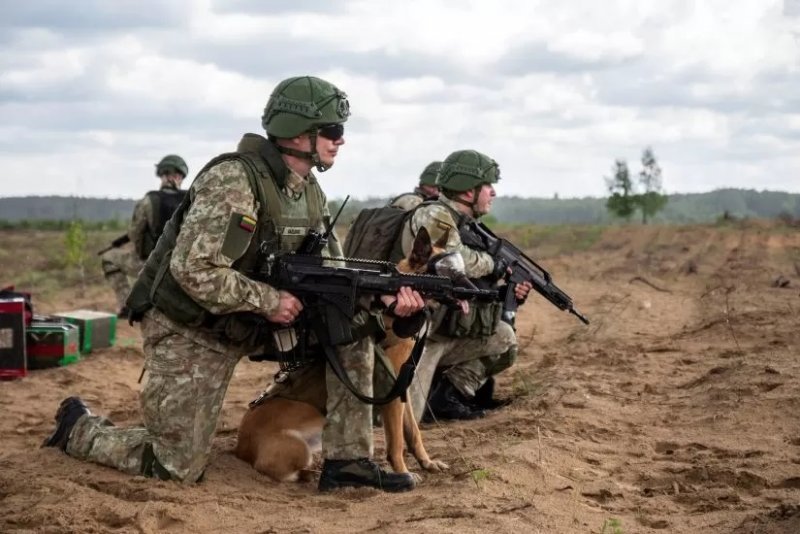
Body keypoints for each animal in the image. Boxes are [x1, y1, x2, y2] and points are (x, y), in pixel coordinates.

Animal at [234, 228, 454, 484]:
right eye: (446, 270)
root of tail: (241, 449)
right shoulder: (390, 391)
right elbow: (397, 441)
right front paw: (402, 473)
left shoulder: (403, 387)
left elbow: (414, 432)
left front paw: (427, 462)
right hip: (315, 418)